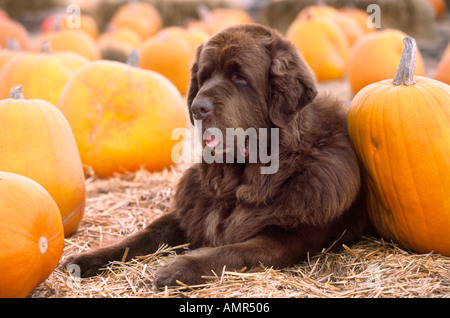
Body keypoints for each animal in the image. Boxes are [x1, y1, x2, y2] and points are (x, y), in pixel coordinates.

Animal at [62, 23, 370, 290]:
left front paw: (178, 269)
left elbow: (231, 251)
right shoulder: (189, 211)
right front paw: (87, 258)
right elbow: (142, 235)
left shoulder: (285, 237)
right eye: (203, 77)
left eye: (240, 78)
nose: (198, 108)